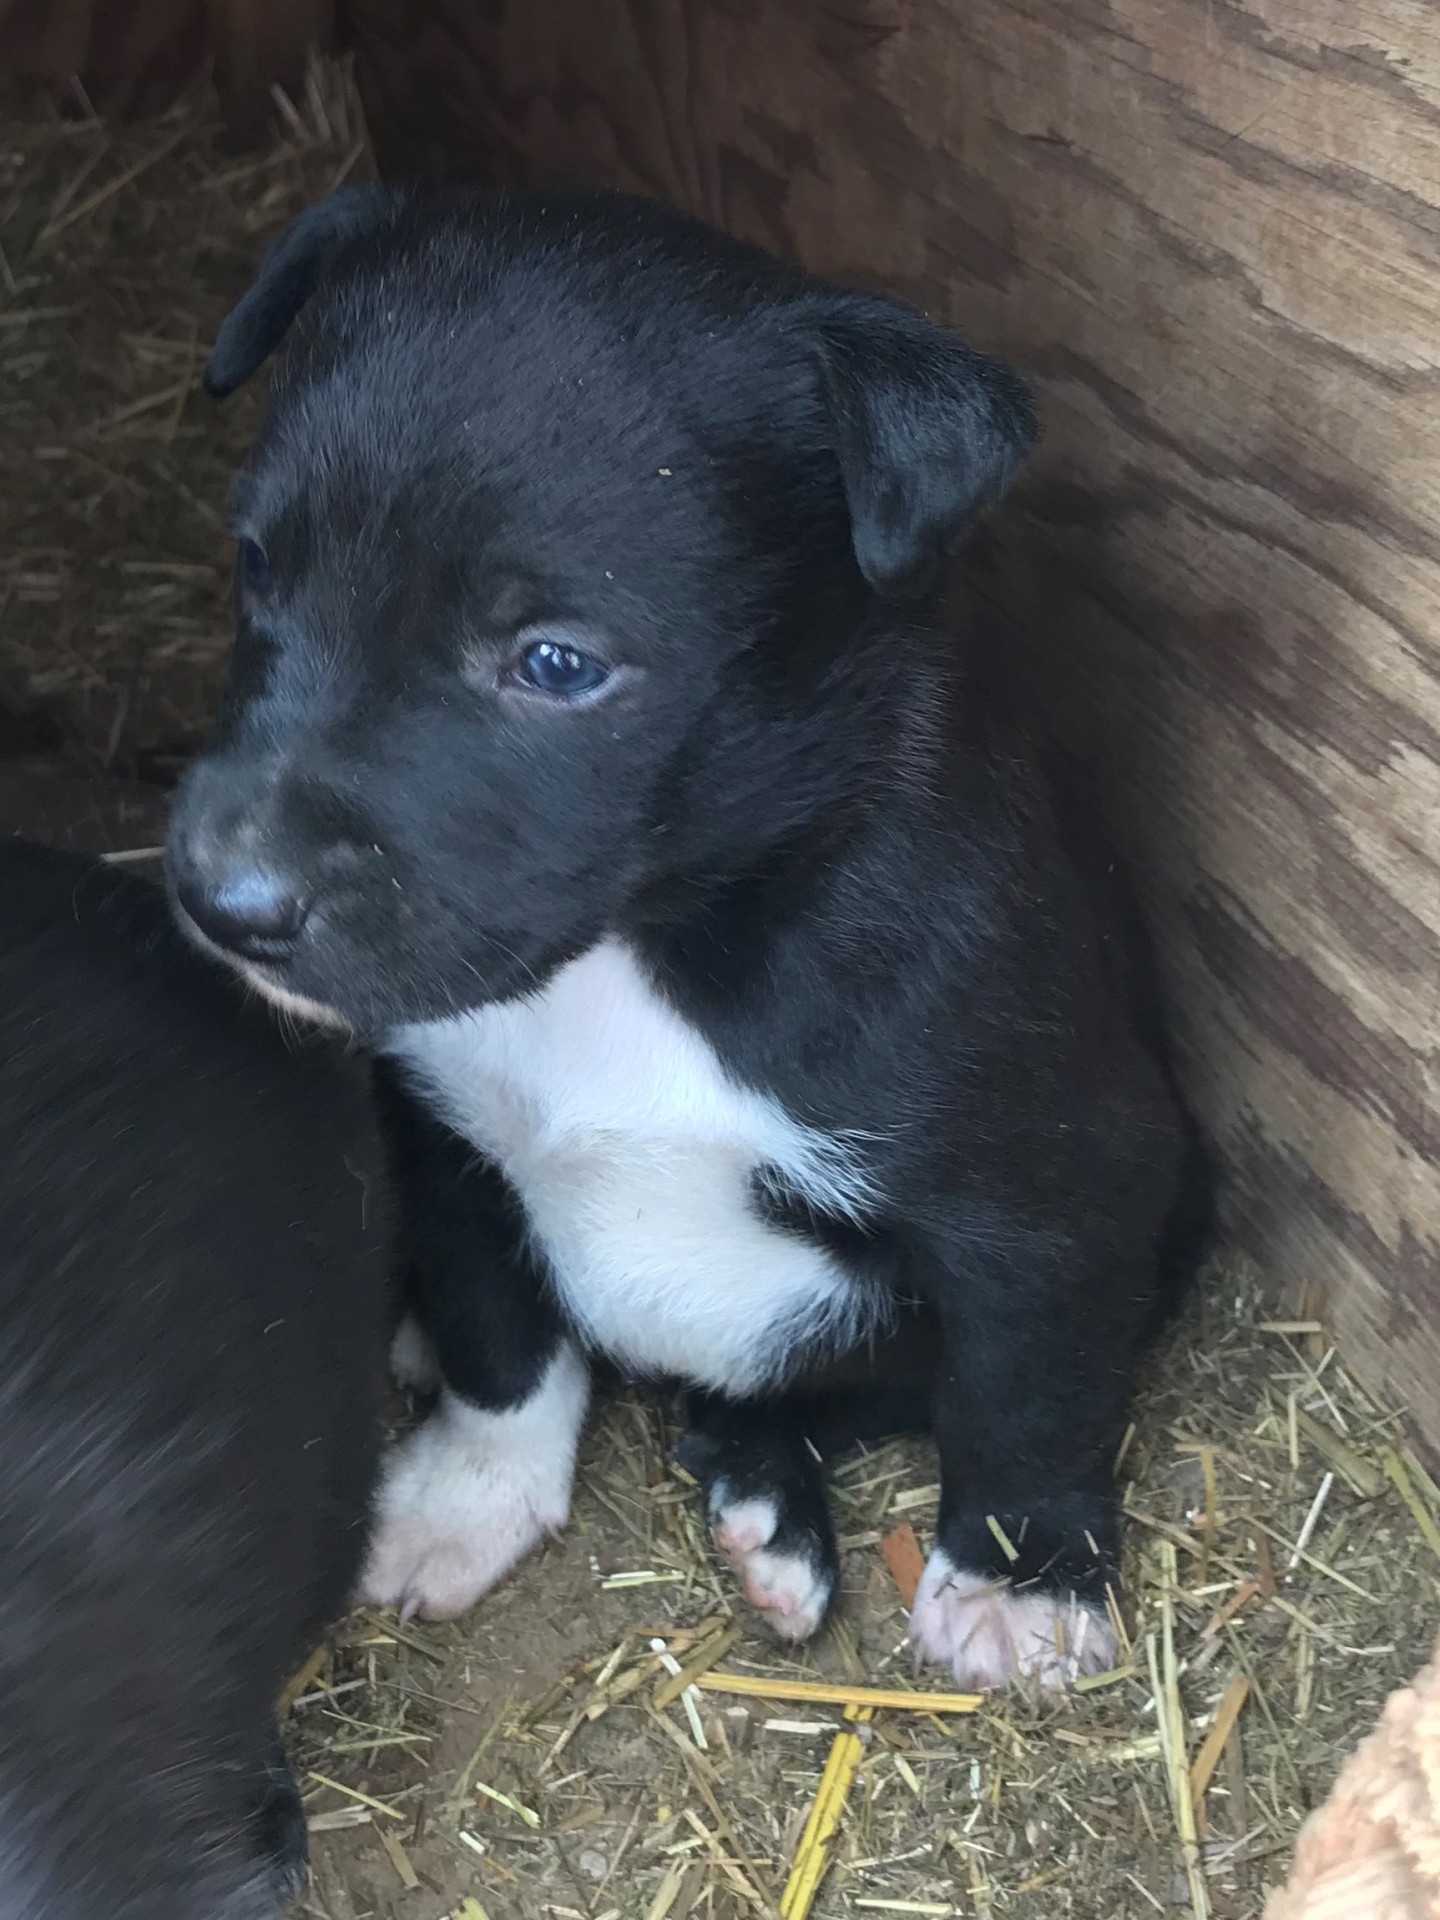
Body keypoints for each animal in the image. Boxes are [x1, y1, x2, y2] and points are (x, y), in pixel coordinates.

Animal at [166, 187, 1205, 1689]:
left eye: (556, 662)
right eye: (256, 569)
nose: (222, 899)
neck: (648, 945)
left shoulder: (1057, 1189)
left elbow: (1030, 1388)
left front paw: (1028, 1579)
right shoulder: (440, 1130)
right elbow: (498, 1331)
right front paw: (469, 1494)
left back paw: (772, 1510)